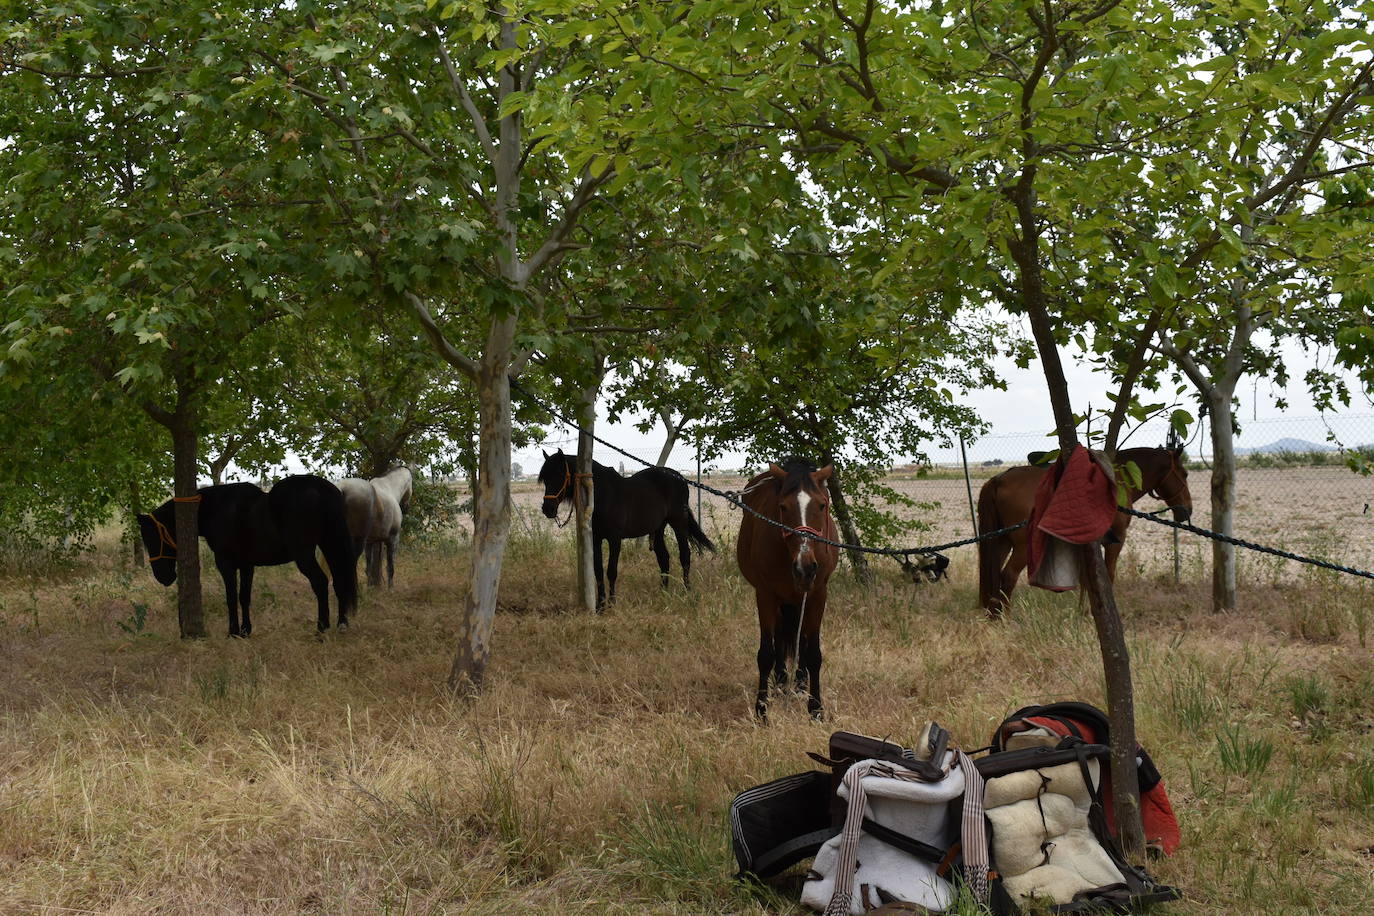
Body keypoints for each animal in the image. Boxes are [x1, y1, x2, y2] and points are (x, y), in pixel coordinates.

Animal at [137, 475, 359, 636]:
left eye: (151, 539)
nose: (163, 578)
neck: (216, 508)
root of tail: (324, 489)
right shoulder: (247, 565)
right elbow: (244, 596)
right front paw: (245, 630)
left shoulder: (225, 563)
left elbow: (231, 596)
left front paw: (233, 632)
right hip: (330, 545)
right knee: (339, 581)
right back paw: (342, 624)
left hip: (304, 554)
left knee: (320, 582)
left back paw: (322, 626)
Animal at [537, 449, 714, 609]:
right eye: (545, 479)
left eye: (559, 475)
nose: (547, 509)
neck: (601, 495)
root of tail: (680, 478)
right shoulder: (596, 539)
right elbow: (598, 571)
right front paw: (600, 605)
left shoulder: (615, 539)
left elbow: (611, 571)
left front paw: (612, 604)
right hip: (658, 527)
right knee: (664, 558)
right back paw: (663, 592)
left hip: (678, 523)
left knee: (685, 555)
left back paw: (687, 591)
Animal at [736, 459, 839, 721]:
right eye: (783, 507)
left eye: (822, 505)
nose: (805, 567)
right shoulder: (765, 594)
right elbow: (766, 653)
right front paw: (761, 709)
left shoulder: (817, 594)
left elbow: (813, 653)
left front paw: (815, 708)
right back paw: (782, 681)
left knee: (800, 639)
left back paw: (799, 684)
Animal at [976, 445, 1193, 617]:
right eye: (1184, 474)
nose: (1187, 510)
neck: (1117, 480)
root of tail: (999, 479)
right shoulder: (1116, 540)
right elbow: (1107, 576)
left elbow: (1087, 580)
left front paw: (1083, 612)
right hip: (1022, 547)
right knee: (1008, 576)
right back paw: (1006, 618)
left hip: (1001, 541)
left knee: (994, 574)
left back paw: (993, 615)